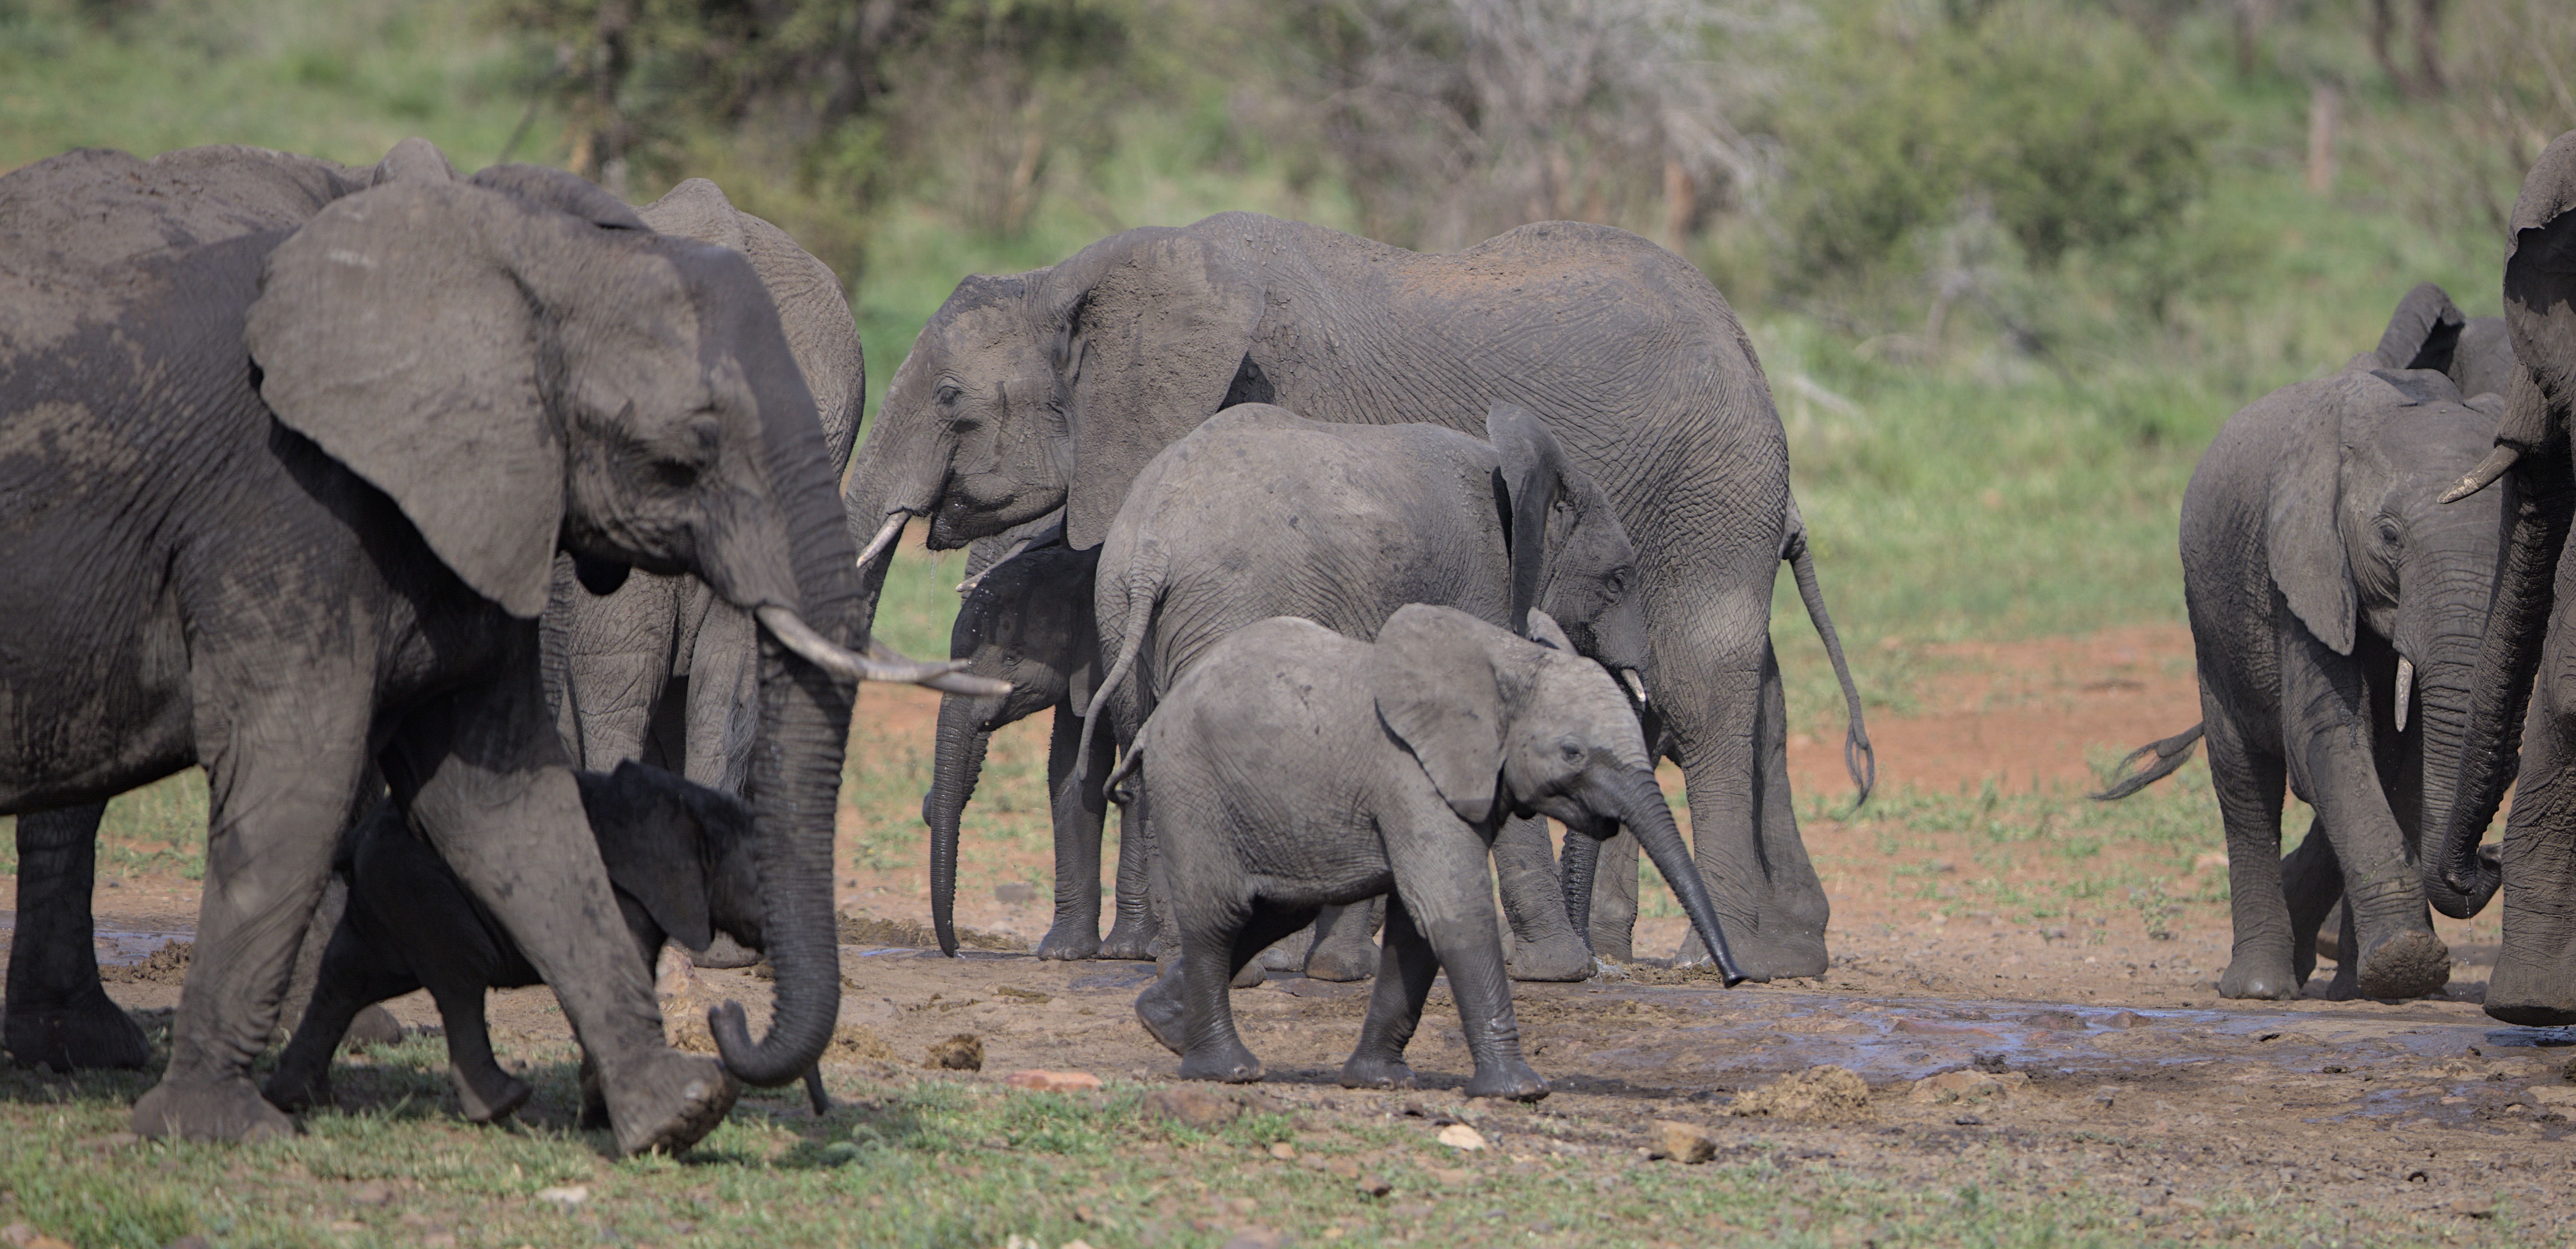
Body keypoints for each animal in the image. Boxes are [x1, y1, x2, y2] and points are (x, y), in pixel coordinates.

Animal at [267, 760, 827, 1125]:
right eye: (763, 879)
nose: (727, 1012)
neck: (688, 804)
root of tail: (357, 838)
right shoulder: (620, 894)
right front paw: (606, 1113)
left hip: (387, 894)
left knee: (349, 973)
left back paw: (300, 1097)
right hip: (422, 888)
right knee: (458, 975)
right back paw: (503, 1102)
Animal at [1081, 401, 1662, 983]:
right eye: (1617, 581)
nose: (1601, 966)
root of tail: (1154, 540)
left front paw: (1339, 968)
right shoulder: (1478, 587)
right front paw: (1563, 972)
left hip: (1115, 607)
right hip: (1226, 608)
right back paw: (1236, 974)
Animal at [1113, 605, 1746, 1099]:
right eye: (1572, 752)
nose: (1735, 980)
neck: (1507, 663)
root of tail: (1152, 724)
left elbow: (1417, 930)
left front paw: (1381, 1082)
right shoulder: (1411, 775)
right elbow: (1453, 907)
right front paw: (1521, 1090)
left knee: (1272, 910)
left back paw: (1162, 1026)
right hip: (1192, 785)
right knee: (1220, 916)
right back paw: (1227, 1070)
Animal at [2094, 282, 2514, 1001]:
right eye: (2390, 537)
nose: (2489, 858)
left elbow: (2411, 758)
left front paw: (2394, 976)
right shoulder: (2299, 564)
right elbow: (2325, 738)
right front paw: (2407, 964)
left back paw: (2339, 980)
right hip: (2212, 631)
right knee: (2245, 782)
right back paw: (2262, 987)